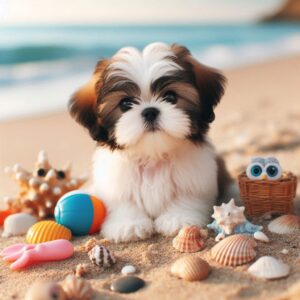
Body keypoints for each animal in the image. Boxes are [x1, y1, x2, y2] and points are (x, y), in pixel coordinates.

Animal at [69, 42, 231, 243]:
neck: (152, 155)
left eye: (170, 97)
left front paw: (178, 217)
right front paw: (128, 224)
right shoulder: (117, 182)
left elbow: (187, 197)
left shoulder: (195, 179)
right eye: (125, 104)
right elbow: (123, 202)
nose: (150, 111)